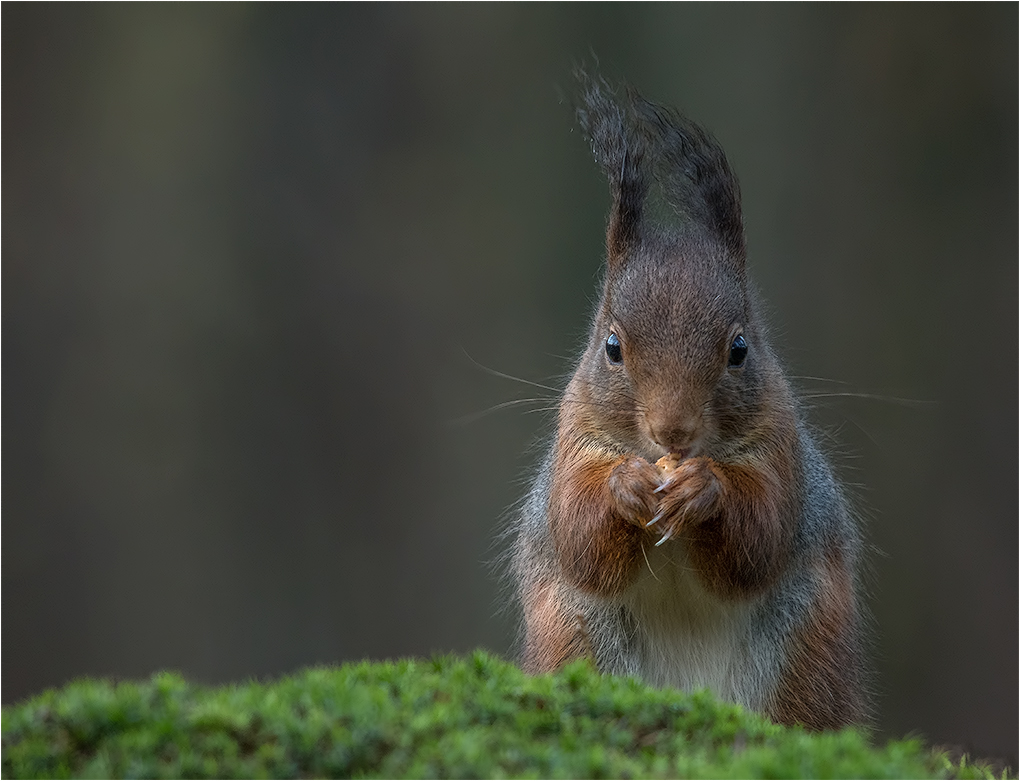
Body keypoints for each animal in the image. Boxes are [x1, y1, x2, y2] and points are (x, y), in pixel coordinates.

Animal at [510, 71, 869, 725]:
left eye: (740, 348)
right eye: (612, 346)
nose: (671, 432)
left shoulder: (779, 447)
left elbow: (761, 535)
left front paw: (705, 490)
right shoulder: (574, 441)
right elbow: (577, 530)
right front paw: (624, 485)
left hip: (803, 647)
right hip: (578, 637)